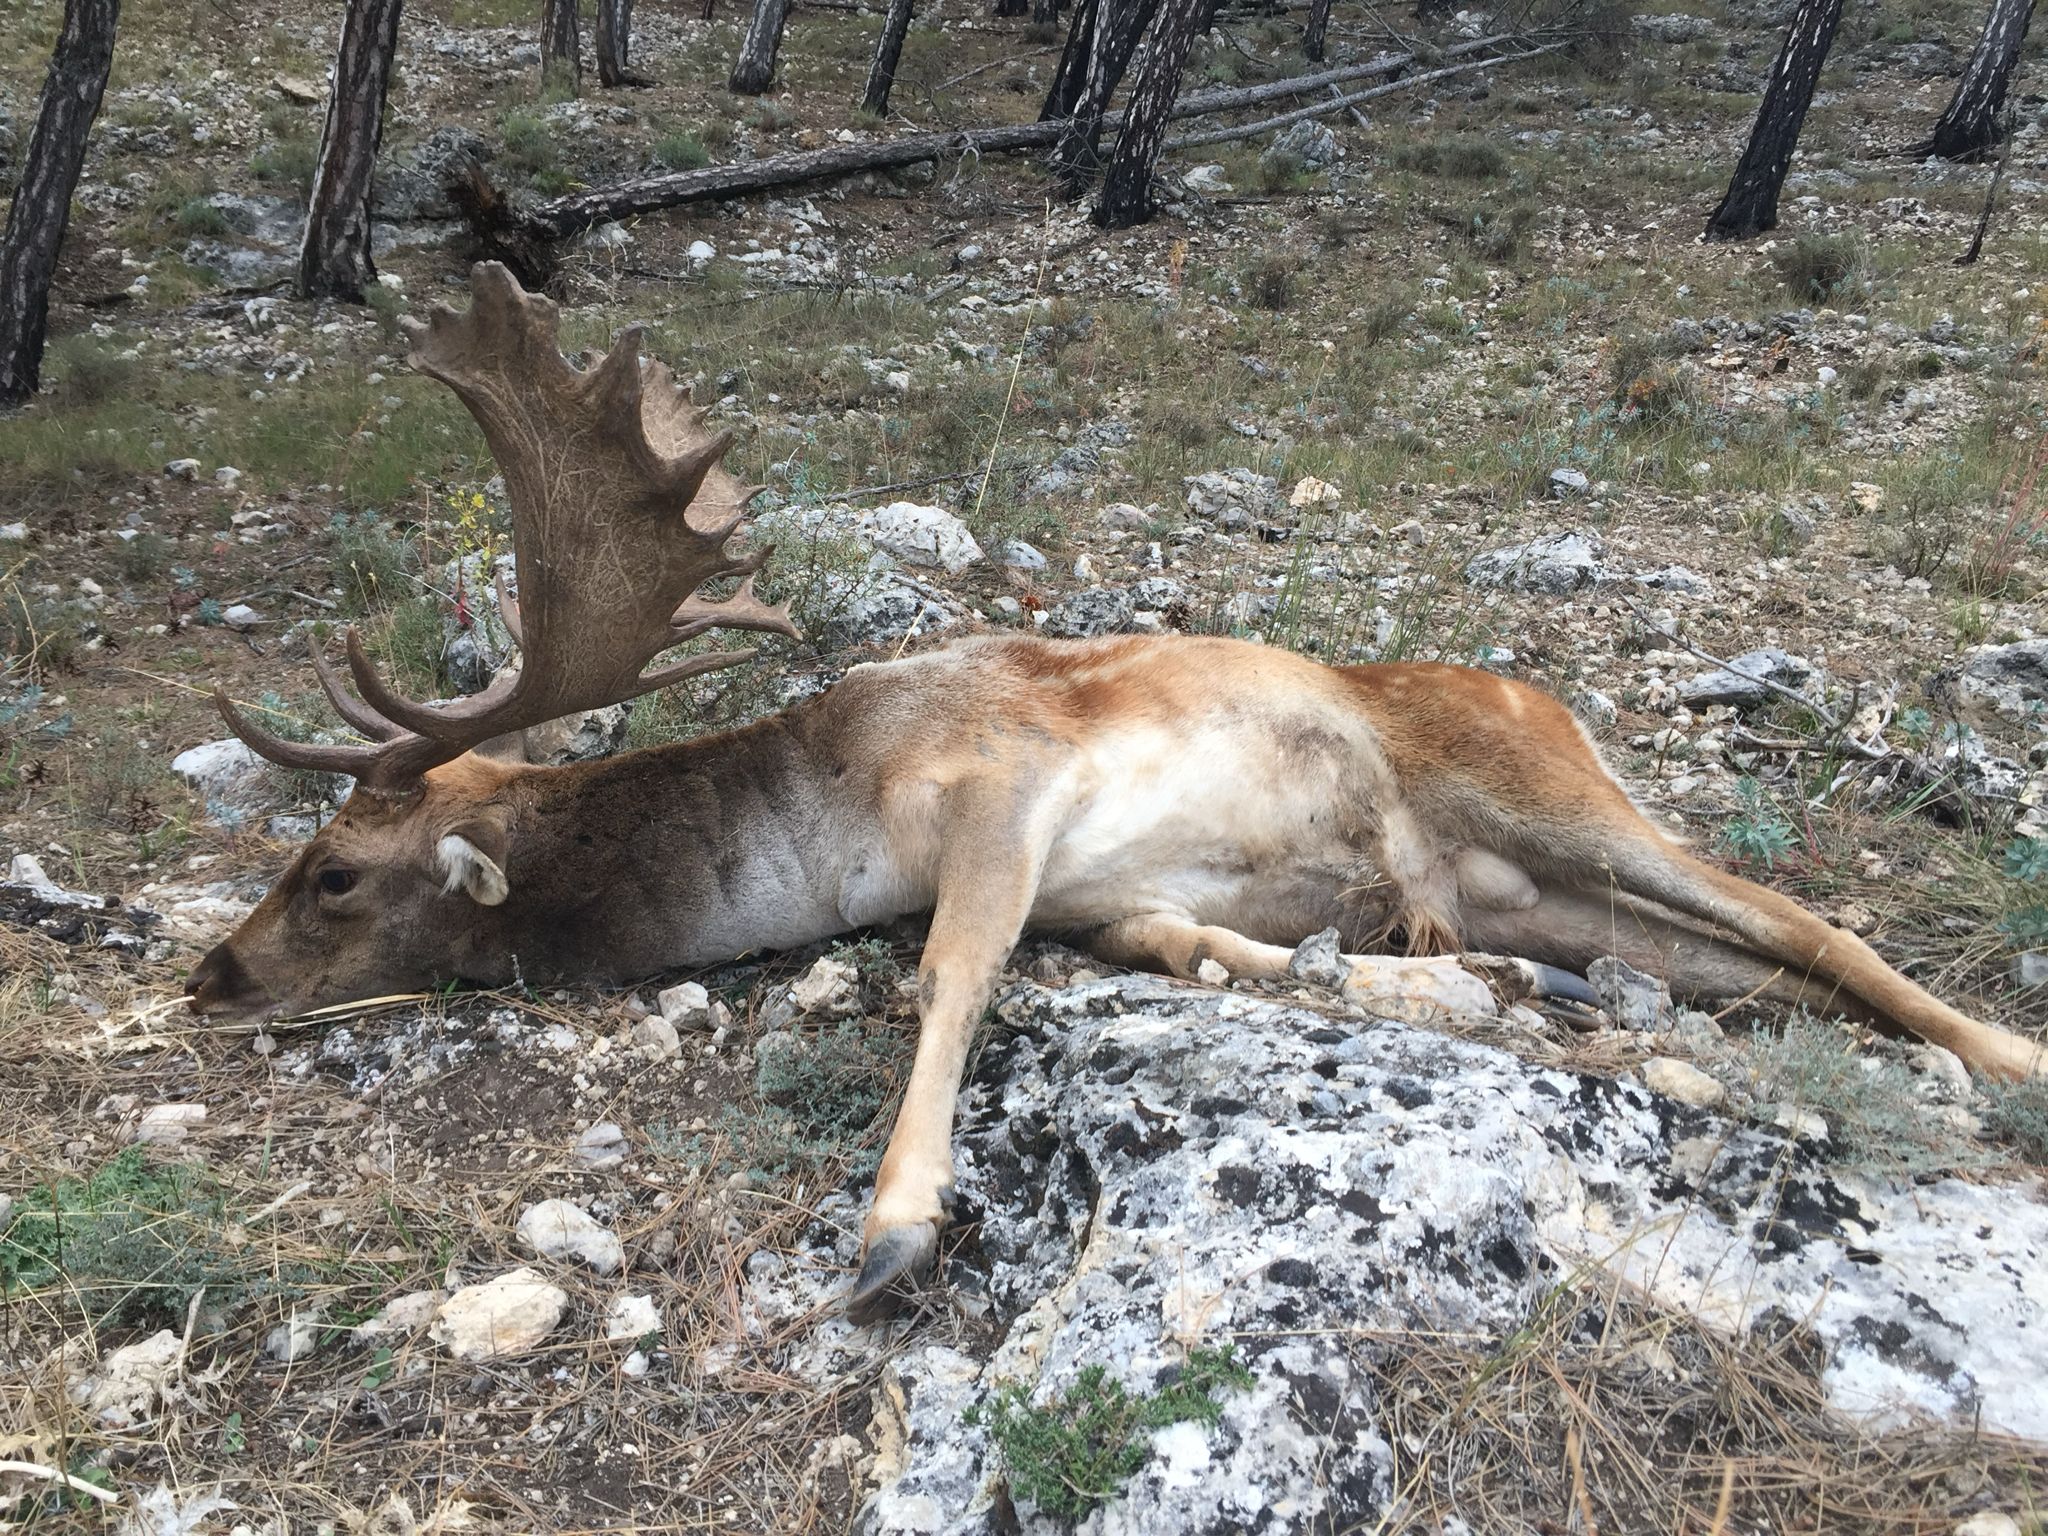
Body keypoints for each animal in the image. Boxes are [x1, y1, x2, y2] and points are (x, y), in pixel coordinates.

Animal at [185, 264, 2046, 1324]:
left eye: (331, 870)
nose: (208, 976)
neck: (831, 810)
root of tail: (1542, 693)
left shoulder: (1004, 780)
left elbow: (951, 970)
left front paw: (893, 1231)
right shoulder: (1110, 887)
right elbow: (1176, 946)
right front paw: (1424, 987)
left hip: (1561, 798)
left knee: (1818, 922)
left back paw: (2006, 1056)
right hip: (1559, 884)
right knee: (1742, 966)